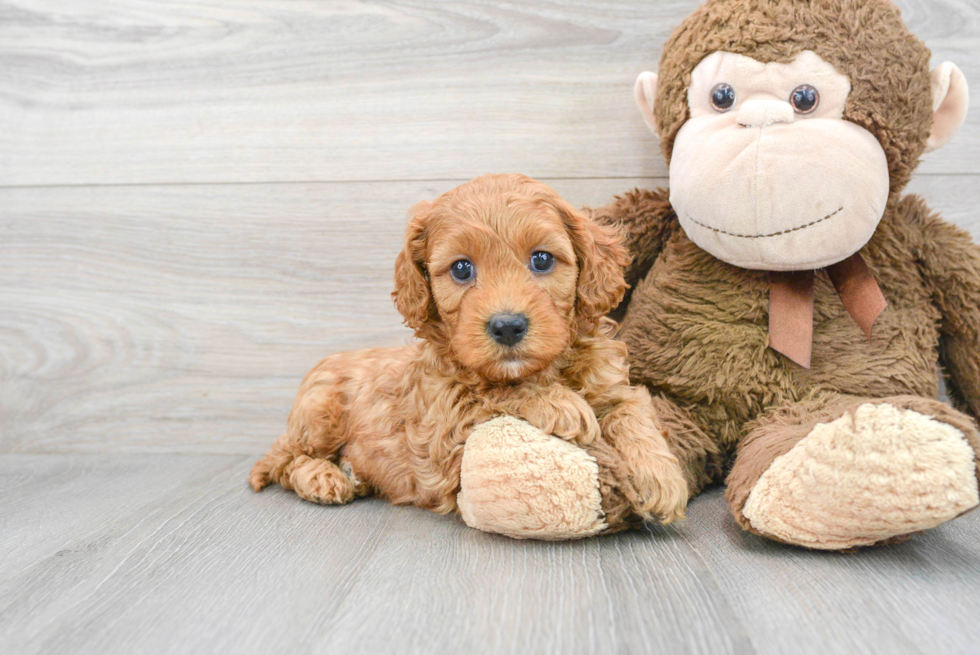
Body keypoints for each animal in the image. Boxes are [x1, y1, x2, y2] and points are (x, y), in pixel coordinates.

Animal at [249, 174, 684, 528]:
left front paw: (661, 478)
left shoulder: (612, 386)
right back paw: (325, 477)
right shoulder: (444, 436)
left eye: (542, 259)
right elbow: (489, 393)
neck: (541, 370)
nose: (507, 326)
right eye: (461, 269)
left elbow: (632, 413)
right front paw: (557, 402)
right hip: (319, 415)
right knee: (284, 460)